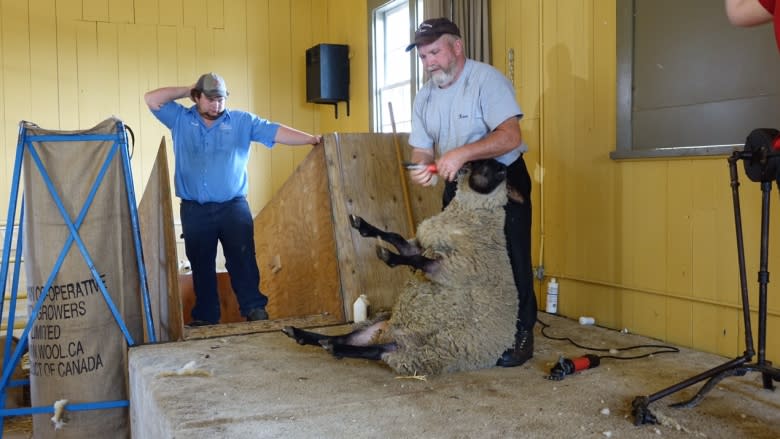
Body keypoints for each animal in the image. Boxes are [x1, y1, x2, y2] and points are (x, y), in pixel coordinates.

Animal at [282, 160, 516, 376]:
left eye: (489, 166)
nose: (463, 165)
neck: (475, 218)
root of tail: (388, 334)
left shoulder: (457, 267)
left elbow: (420, 260)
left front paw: (389, 256)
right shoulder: (421, 247)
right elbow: (398, 238)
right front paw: (364, 227)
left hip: (419, 351)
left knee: (375, 351)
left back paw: (331, 347)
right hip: (380, 325)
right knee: (347, 337)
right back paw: (301, 334)